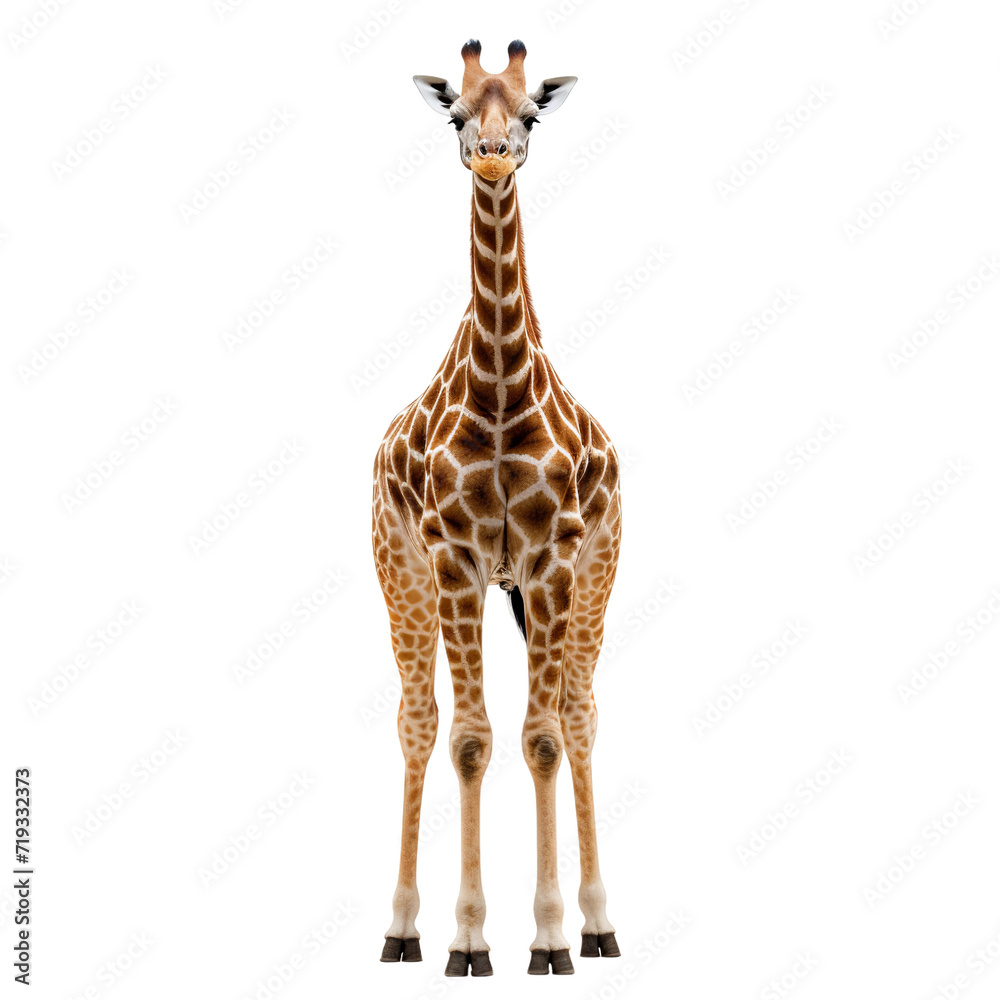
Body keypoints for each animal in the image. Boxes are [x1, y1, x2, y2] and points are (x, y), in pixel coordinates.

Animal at [372, 39, 622, 978]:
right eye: (455, 111)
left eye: (530, 113)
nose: (489, 154)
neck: (504, 391)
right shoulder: (451, 558)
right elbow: (469, 739)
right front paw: (469, 938)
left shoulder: (554, 559)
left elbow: (544, 735)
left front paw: (551, 936)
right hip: (399, 572)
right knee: (416, 721)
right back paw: (400, 929)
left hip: (597, 575)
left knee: (582, 716)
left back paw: (599, 924)